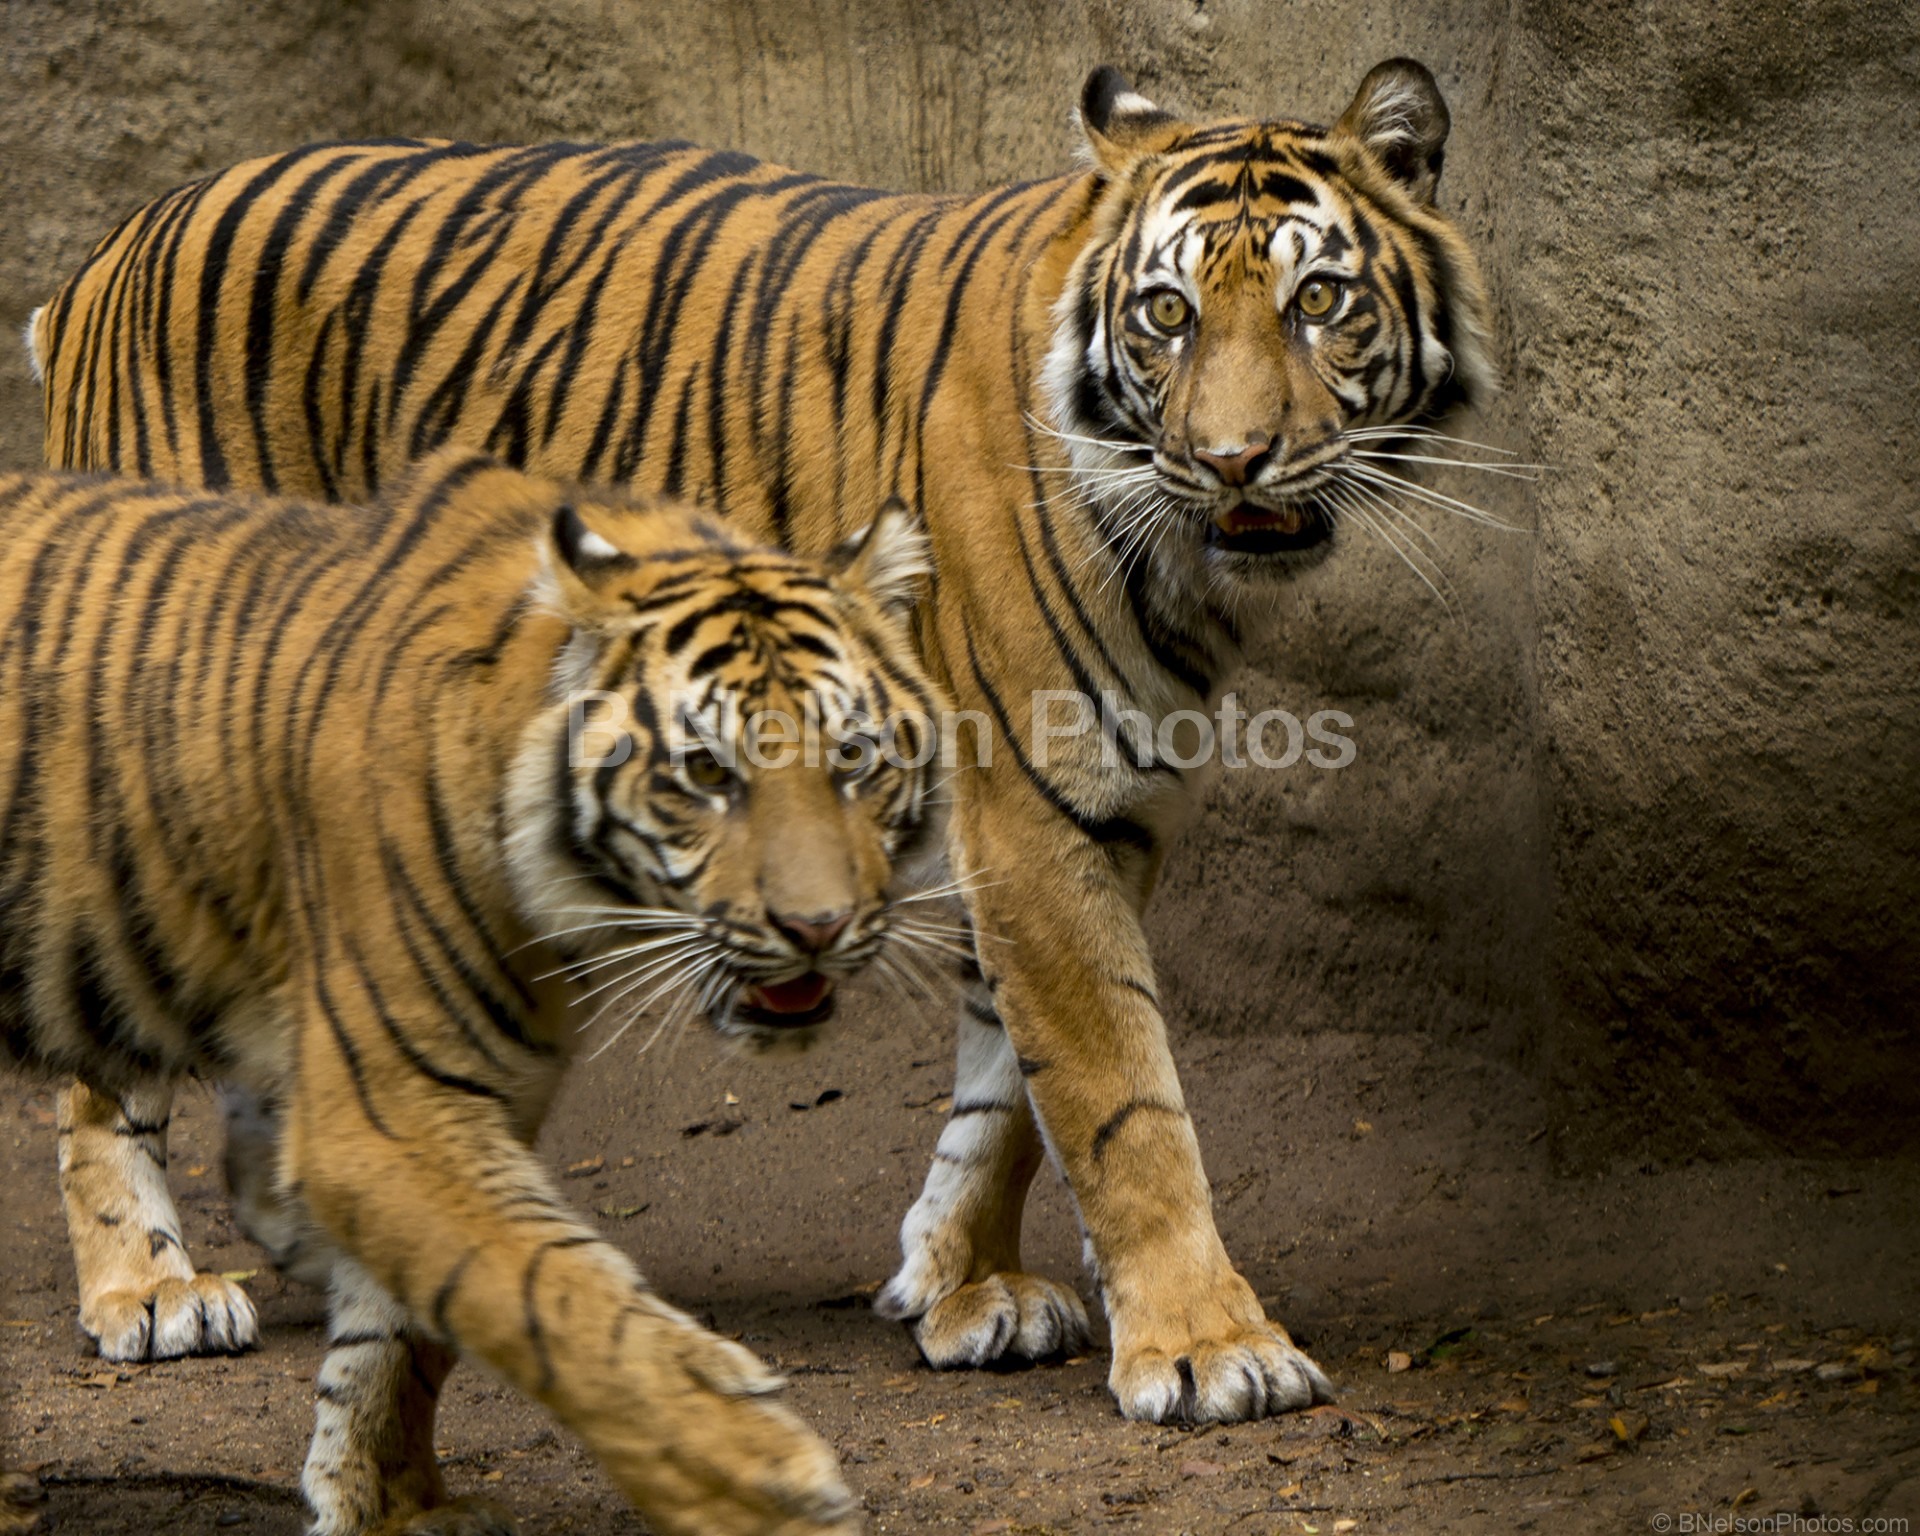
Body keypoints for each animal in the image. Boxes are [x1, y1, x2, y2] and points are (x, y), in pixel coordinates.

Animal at [0, 447, 940, 1536]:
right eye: (707, 772)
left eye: (856, 760)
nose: (818, 927)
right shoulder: (389, 1112)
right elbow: (563, 1300)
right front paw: (754, 1481)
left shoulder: (469, 1098)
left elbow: (400, 1341)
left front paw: (386, 1504)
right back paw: (154, 1290)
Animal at [33, 60, 1497, 1428]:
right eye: (1167, 314)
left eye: (1320, 302)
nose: (1237, 459)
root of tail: (108, 254)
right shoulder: (1037, 803)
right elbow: (1117, 1093)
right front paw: (1207, 1348)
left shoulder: (1087, 807)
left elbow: (1007, 1089)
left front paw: (958, 1286)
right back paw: (148, 1289)